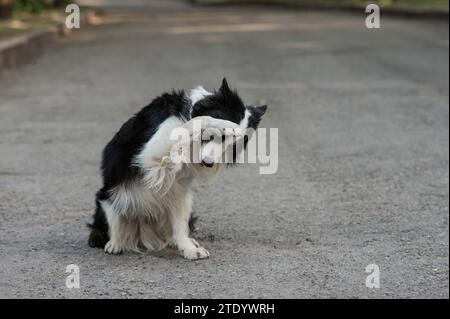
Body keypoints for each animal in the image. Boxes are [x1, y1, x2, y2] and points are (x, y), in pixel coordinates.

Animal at [88, 79, 268, 260]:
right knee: (110, 225)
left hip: (181, 199)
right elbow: (197, 121)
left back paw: (189, 248)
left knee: (178, 229)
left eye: (233, 147)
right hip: (109, 197)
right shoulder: (150, 157)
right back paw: (114, 244)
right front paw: (226, 124)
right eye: (220, 136)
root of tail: (144, 231)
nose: (209, 163)